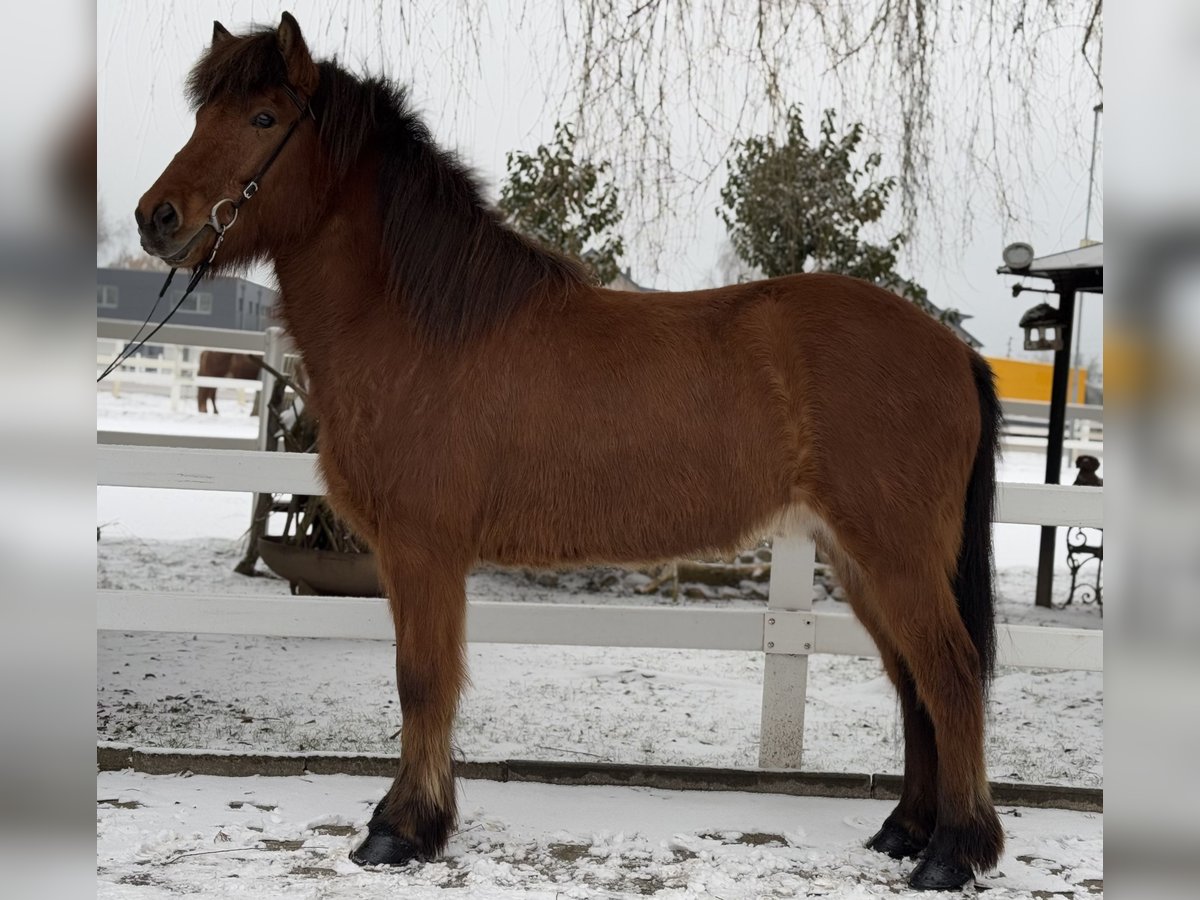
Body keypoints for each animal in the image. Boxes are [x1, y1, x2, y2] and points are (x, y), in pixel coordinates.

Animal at [133, 12, 1003, 888]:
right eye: (203, 113)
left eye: (264, 118)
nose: (155, 218)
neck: (425, 330)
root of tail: (954, 351)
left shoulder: (421, 549)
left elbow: (422, 682)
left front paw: (401, 830)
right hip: (860, 559)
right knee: (913, 685)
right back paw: (907, 830)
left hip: (894, 554)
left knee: (951, 677)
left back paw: (953, 852)